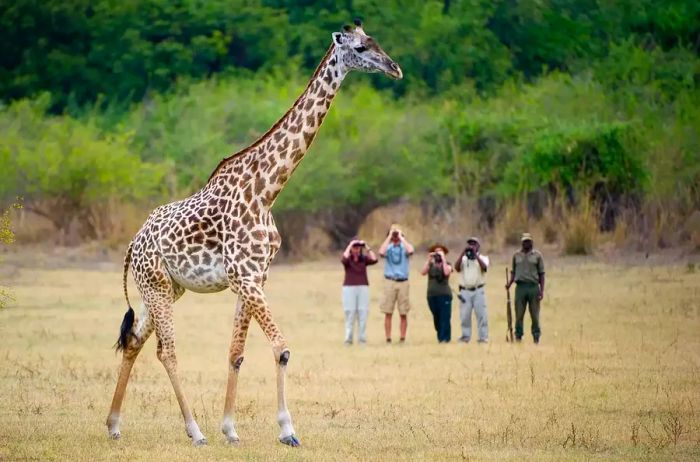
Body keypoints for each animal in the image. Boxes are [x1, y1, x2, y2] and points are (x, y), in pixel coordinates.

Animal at [102, 19, 400, 450]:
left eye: (375, 41)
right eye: (360, 48)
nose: (395, 68)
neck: (267, 191)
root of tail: (132, 244)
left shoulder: (256, 276)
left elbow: (236, 353)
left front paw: (230, 429)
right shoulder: (244, 276)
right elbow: (282, 349)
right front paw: (287, 431)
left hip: (163, 289)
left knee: (134, 341)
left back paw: (113, 425)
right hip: (156, 288)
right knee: (166, 351)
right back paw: (194, 431)